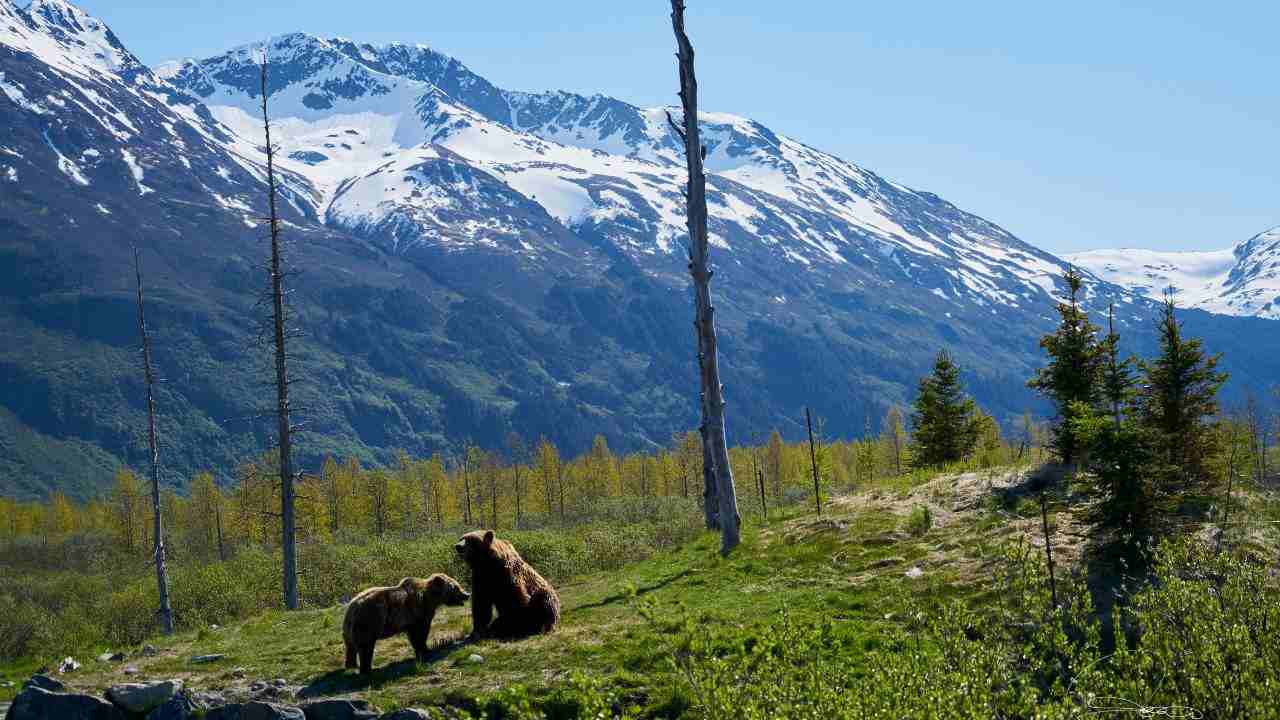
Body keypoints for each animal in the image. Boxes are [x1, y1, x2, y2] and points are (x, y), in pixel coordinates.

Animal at [340, 571, 471, 671]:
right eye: (456, 587)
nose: (467, 594)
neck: (431, 599)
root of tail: (352, 608)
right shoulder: (418, 611)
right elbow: (420, 633)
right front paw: (425, 650)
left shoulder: (411, 619)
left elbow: (413, 635)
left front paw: (421, 650)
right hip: (369, 620)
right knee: (365, 646)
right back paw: (367, 668)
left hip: (350, 630)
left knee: (350, 647)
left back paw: (351, 665)